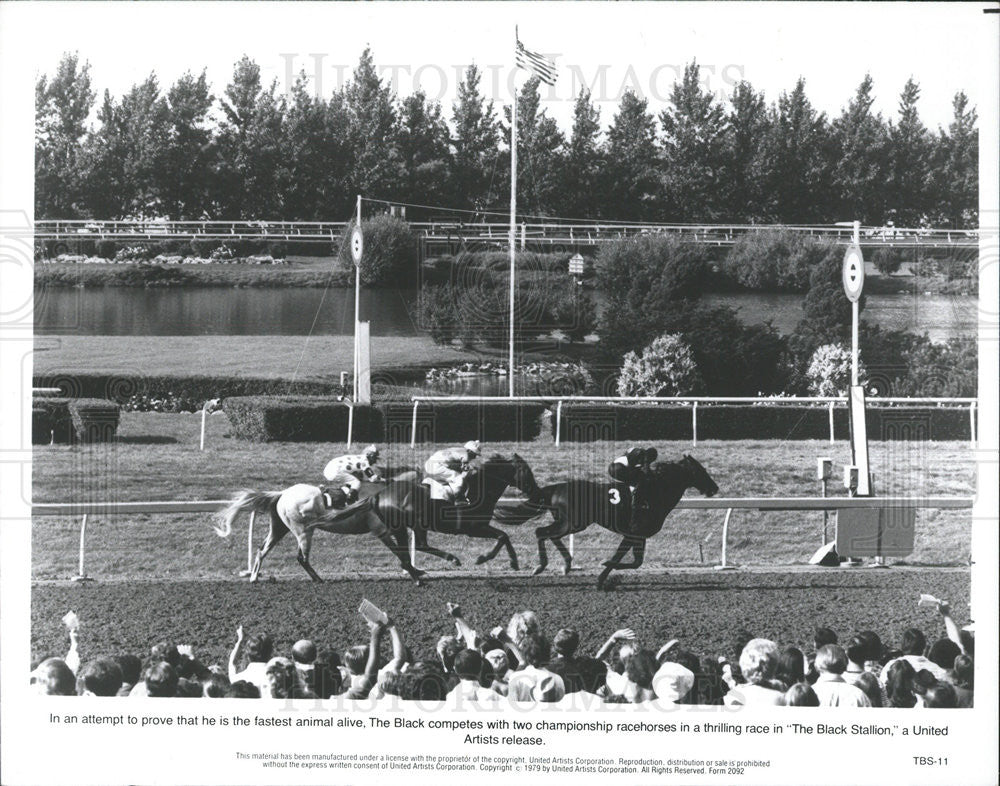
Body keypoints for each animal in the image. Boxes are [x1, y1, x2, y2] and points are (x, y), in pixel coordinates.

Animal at [376, 454, 544, 568]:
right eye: (526, 471)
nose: (536, 491)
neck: (478, 491)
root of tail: (381, 494)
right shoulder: (474, 528)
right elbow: (503, 536)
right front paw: (483, 558)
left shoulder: (478, 528)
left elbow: (504, 536)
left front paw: (514, 562)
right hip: (416, 524)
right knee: (421, 545)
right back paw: (452, 559)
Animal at [508, 450, 720, 584]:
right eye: (701, 471)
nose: (714, 488)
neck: (657, 491)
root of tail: (556, 487)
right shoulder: (633, 533)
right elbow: (624, 557)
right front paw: (605, 571)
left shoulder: (638, 535)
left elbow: (636, 562)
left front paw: (604, 574)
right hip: (573, 523)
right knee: (541, 532)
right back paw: (542, 566)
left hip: (568, 522)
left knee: (549, 534)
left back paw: (566, 565)